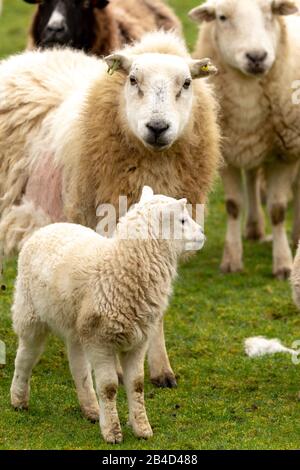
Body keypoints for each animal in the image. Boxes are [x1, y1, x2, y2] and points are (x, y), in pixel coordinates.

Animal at [0, 30, 220, 390]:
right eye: (132, 79)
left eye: (187, 83)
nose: (157, 127)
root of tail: (22, 60)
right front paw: (114, 367)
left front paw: (160, 368)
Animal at [9, 186, 206, 444]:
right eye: (182, 220)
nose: (202, 233)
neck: (119, 266)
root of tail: (47, 228)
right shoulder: (100, 341)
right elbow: (110, 387)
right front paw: (113, 432)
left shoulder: (137, 341)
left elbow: (137, 386)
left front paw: (142, 429)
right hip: (31, 313)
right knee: (25, 357)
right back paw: (18, 399)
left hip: (76, 327)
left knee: (79, 367)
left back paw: (92, 410)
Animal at [190, 0, 300, 280]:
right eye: (221, 17)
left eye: (271, 11)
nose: (257, 57)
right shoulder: (227, 153)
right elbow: (233, 205)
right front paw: (231, 259)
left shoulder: (285, 154)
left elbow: (277, 210)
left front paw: (283, 264)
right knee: (251, 177)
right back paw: (253, 227)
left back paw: (295, 237)